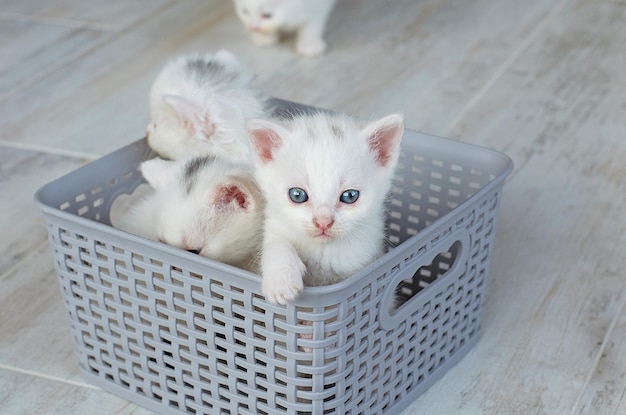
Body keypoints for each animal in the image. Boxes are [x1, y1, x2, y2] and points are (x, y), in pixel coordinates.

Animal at [246, 112, 402, 304]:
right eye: (297, 195)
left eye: (350, 196)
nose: (323, 222)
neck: (322, 251)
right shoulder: (274, 226)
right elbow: (276, 243)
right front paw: (282, 280)